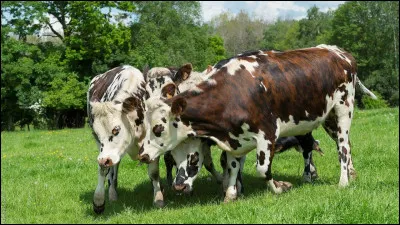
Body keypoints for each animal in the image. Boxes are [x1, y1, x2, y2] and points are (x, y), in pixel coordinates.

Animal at [137, 44, 376, 202]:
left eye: (158, 128)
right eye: (175, 157)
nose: (143, 155)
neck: (233, 92)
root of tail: (339, 52)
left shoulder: (267, 134)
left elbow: (263, 169)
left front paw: (280, 187)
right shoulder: (234, 138)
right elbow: (232, 165)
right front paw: (230, 193)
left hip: (343, 109)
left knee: (342, 147)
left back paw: (343, 181)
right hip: (324, 118)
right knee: (335, 144)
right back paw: (338, 174)